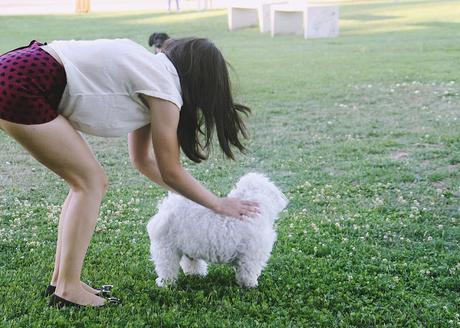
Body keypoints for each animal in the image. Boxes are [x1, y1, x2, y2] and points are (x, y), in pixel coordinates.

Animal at [146, 173, 288, 288]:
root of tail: (165, 211)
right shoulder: (250, 256)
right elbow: (248, 272)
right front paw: (250, 285)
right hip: (166, 249)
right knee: (166, 267)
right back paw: (165, 283)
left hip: (187, 246)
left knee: (190, 262)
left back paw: (196, 274)